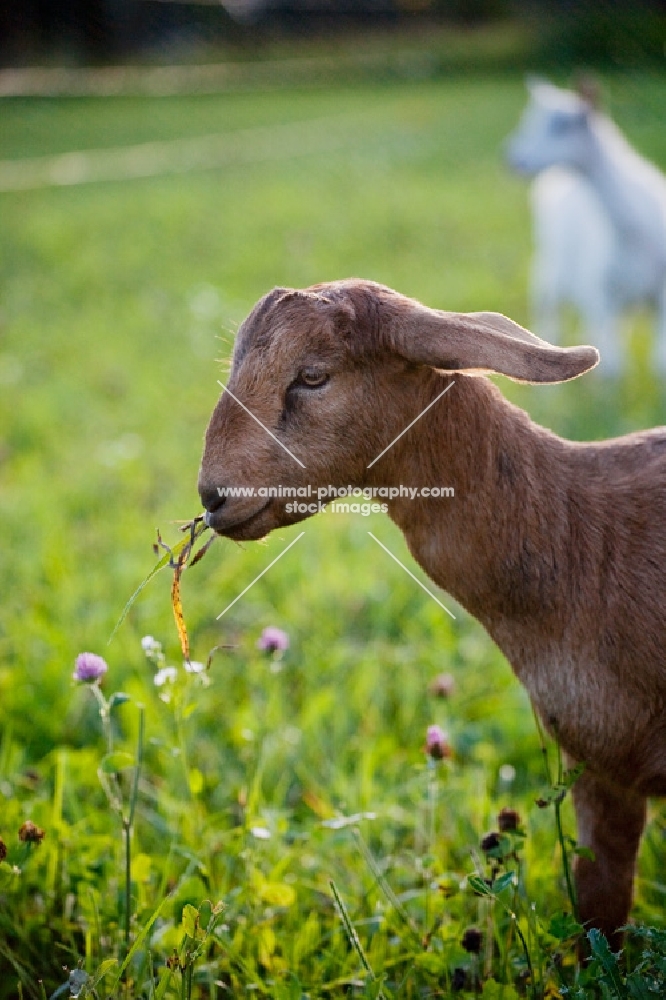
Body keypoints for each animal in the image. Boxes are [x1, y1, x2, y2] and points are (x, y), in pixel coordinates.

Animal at [504, 78, 664, 376]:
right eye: (530, 121)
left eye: (562, 126)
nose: (513, 160)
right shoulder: (601, 294)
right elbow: (613, 367)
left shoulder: (660, 294)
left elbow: (659, 362)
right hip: (551, 271)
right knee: (549, 325)